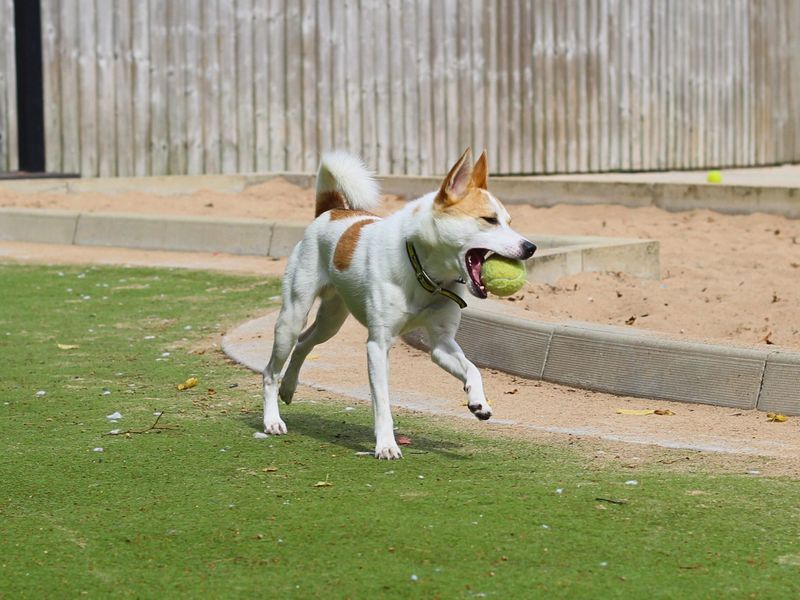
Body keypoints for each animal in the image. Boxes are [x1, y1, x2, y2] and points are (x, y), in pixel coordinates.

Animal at [264, 149, 536, 460]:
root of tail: (331, 211)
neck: (425, 273)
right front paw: (386, 444)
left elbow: (473, 369)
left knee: (304, 343)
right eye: (490, 220)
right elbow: (382, 402)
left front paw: (478, 401)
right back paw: (272, 419)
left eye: (509, 221)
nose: (530, 247)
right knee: (271, 370)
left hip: (330, 321)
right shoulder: (378, 345)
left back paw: (289, 387)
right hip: (292, 316)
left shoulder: (441, 345)